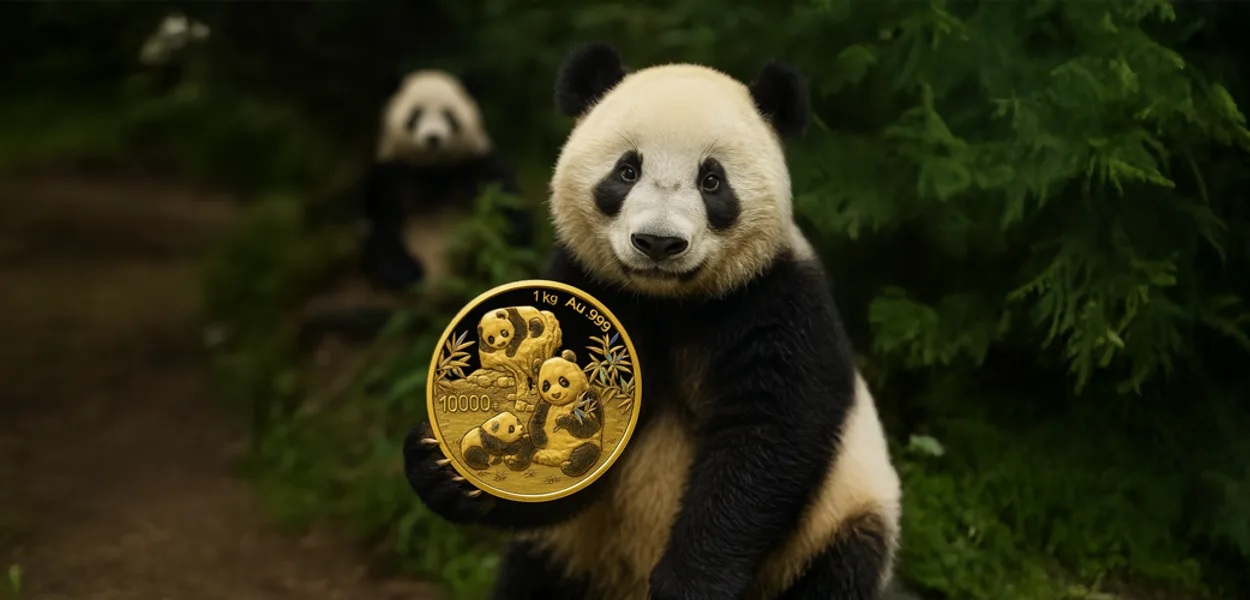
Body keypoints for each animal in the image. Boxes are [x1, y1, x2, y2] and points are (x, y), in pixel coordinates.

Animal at [360, 69, 534, 292]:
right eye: (415, 115)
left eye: (449, 116)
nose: (433, 138)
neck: (434, 171)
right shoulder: (390, 174)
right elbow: (380, 223)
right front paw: (407, 272)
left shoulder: (479, 166)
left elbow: (509, 212)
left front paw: (477, 246)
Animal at [403, 43, 902, 600]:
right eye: (626, 171)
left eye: (712, 181)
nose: (659, 243)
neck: (669, 301)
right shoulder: (592, 285)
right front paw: (444, 471)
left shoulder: (775, 302)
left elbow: (767, 436)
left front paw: (690, 582)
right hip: (571, 551)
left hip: (840, 521)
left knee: (841, 568)